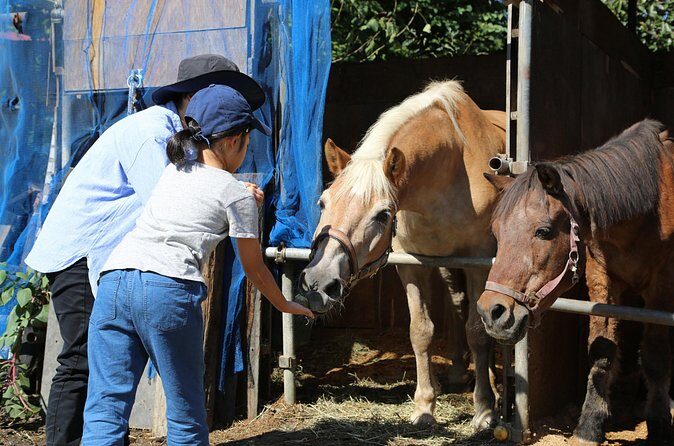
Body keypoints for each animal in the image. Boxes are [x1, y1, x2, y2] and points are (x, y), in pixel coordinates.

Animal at [298, 80, 506, 428]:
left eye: (383, 215)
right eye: (323, 202)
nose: (319, 282)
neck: (452, 167)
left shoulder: (479, 262)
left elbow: (479, 331)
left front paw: (485, 409)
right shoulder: (412, 264)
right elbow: (420, 331)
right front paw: (424, 407)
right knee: (457, 305)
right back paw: (457, 372)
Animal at [477, 119, 674, 445]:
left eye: (543, 231)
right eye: (496, 232)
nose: (492, 313)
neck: (648, 208)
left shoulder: (661, 289)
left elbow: (656, 358)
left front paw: (659, 425)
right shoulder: (602, 282)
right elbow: (602, 351)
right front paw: (589, 426)